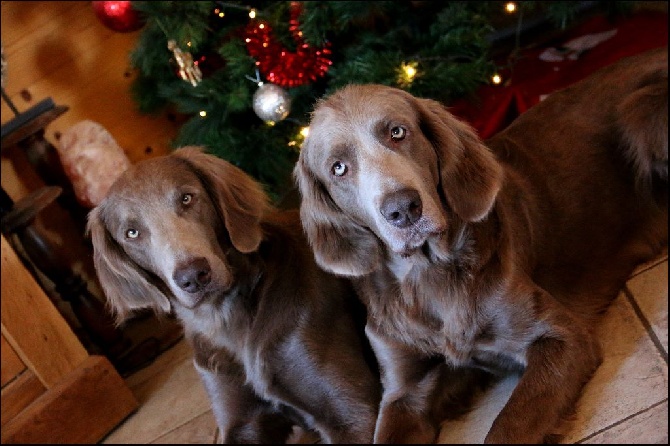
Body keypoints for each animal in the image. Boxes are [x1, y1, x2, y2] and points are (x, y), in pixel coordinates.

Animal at [88, 146, 380, 442]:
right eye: (131, 233)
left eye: (186, 198)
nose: (193, 276)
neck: (229, 321)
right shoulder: (240, 421)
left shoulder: (353, 413)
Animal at [296, 46, 668, 442]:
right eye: (338, 168)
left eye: (397, 132)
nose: (403, 209)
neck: (431, 277)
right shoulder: (403, 390)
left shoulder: (562, 337)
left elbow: (506, 426)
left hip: (640, 112)